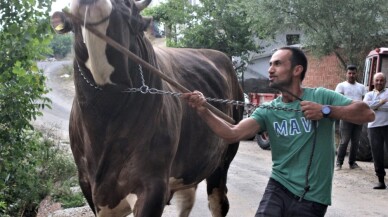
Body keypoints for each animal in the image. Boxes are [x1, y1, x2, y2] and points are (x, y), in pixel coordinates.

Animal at [50, 0, 242, 216]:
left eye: (130, 10)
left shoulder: (152, 184)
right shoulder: (86, 182)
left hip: (223, 159)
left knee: (219, 202)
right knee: (186, 201)